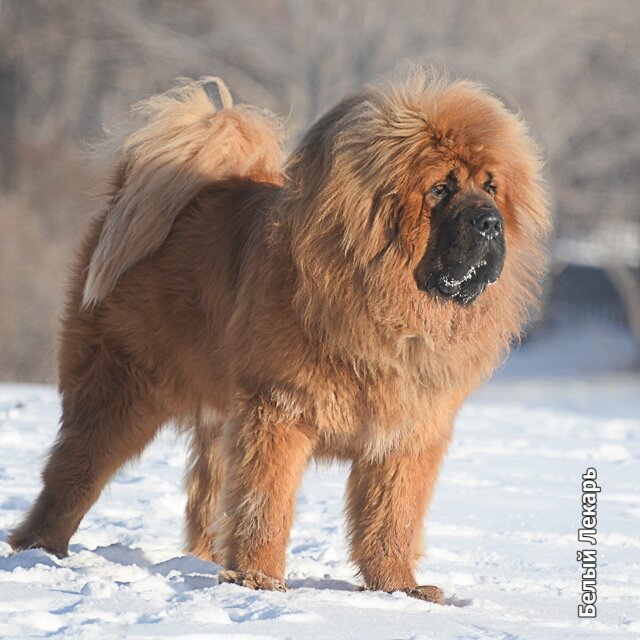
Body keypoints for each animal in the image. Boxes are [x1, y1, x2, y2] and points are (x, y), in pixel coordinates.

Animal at [10, 72, 552, 604]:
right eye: (440, 188)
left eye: (491, 186)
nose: (490, 222)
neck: (385, 306)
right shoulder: (277, 411)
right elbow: (265, 502)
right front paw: (260, 580)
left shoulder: (406, 434)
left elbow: (391, 517)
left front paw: (400, 588)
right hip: (122, 390)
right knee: (72, 475)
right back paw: (40, 552)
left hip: (215, 415)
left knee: (205, 498)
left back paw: (204, 561)